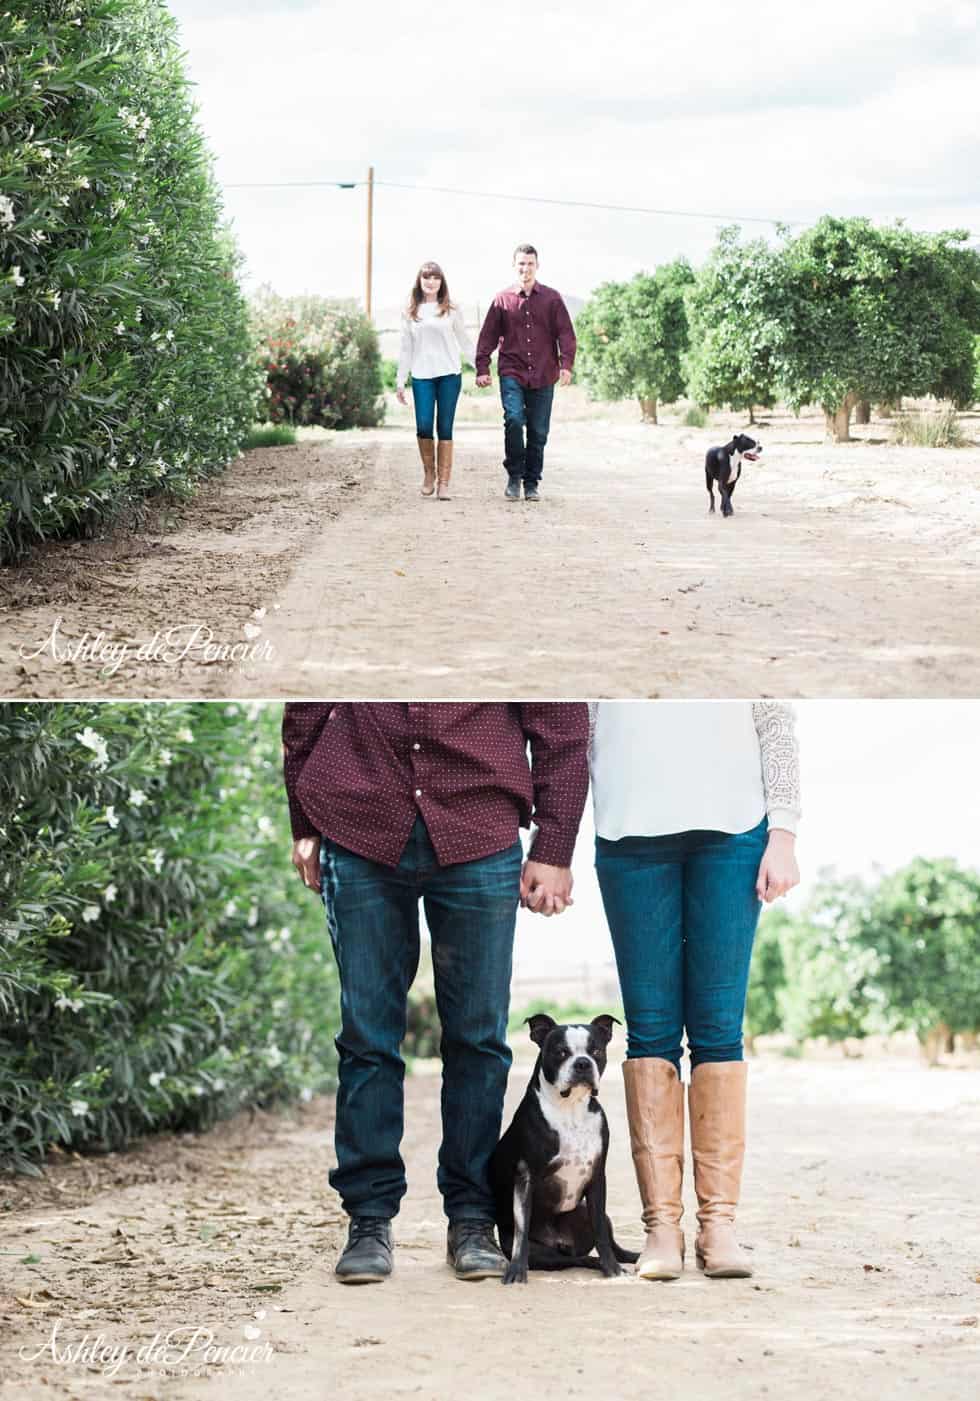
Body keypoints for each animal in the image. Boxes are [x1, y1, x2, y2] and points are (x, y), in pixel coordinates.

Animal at [490, 1014, 644, 1283]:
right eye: (561, 1052)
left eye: (596, 1051)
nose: (583, 1063)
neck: (570, 1108)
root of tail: (560, 1241)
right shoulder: (525, 1177)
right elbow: (522, 1231)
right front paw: (516, 1271)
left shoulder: (597, 1177)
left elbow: (601, 1234)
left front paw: (612, 1269)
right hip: (545, 1254)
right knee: (573, 1259)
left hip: (589, 1212)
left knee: (604, 1243)